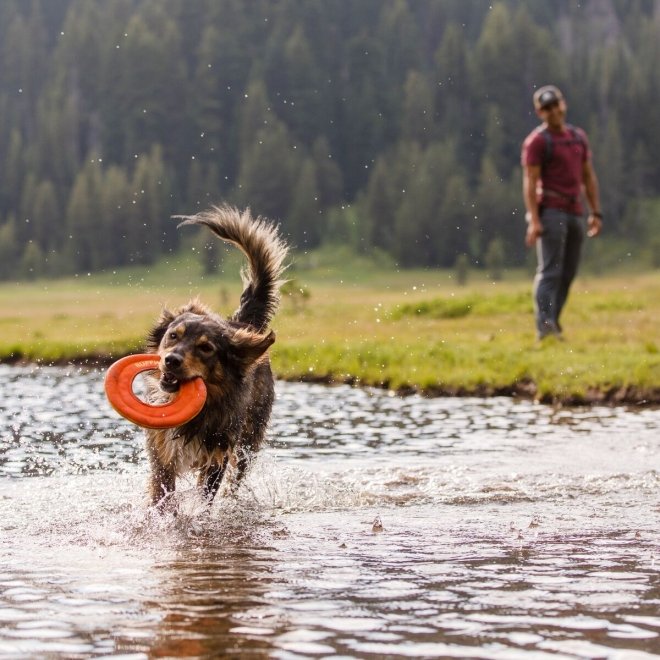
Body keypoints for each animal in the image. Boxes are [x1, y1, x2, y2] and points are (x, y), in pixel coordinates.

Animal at [143, 206, 288, 510]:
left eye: (206, 348)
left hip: (247, 443)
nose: (171, 360)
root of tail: (241, 323)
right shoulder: (161, 453)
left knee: (236, 479)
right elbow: (161, 495)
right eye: (173, 336)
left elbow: (205, 496)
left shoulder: (217, 457)